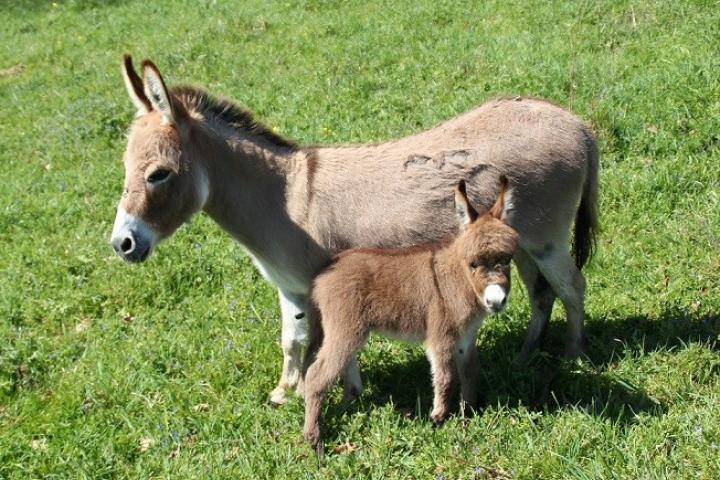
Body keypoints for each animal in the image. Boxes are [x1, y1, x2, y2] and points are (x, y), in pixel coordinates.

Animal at [302, 178, 516, 452]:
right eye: (473, 264)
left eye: (507, 260)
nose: (496, 301)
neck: (459, 280)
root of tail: (324, 271)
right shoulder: (440, 337)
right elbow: (446, 378)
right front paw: (438, 419)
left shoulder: (466, 339)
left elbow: (471, 373)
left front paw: (468, 414)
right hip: (345, 329)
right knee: (316, 375)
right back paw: (314, 438)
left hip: (350, 332)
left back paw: (345, 408)